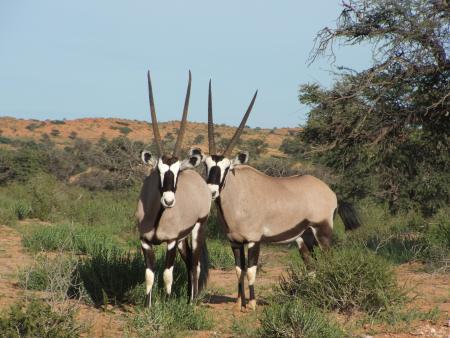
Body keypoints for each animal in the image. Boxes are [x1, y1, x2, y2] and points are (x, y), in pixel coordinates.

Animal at [136, 70, 212, 306]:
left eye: (177, 172)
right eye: (158, 171)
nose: (168, 201)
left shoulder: (169, 242)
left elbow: (167, 274)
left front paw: (167, 304)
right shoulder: (145, 241)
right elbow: (149, 275)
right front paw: (148, 306)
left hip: (198, 229)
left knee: (195, 263)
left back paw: (192, 301)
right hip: (182, 239)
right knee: (188, 262)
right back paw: (189, 296)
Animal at [198, 81, 362, 308]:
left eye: (227, 167)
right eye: (206, 165)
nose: (212, 191)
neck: (238, 196)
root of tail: (331, 193)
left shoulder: (254, 240)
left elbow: (251, 271)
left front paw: (252, 304)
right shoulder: (235, 242)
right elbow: (239, 270)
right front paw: (239, 303)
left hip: (322, 231)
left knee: (328, 261)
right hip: (304, 238)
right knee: (311, 266)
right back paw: (309, 296)